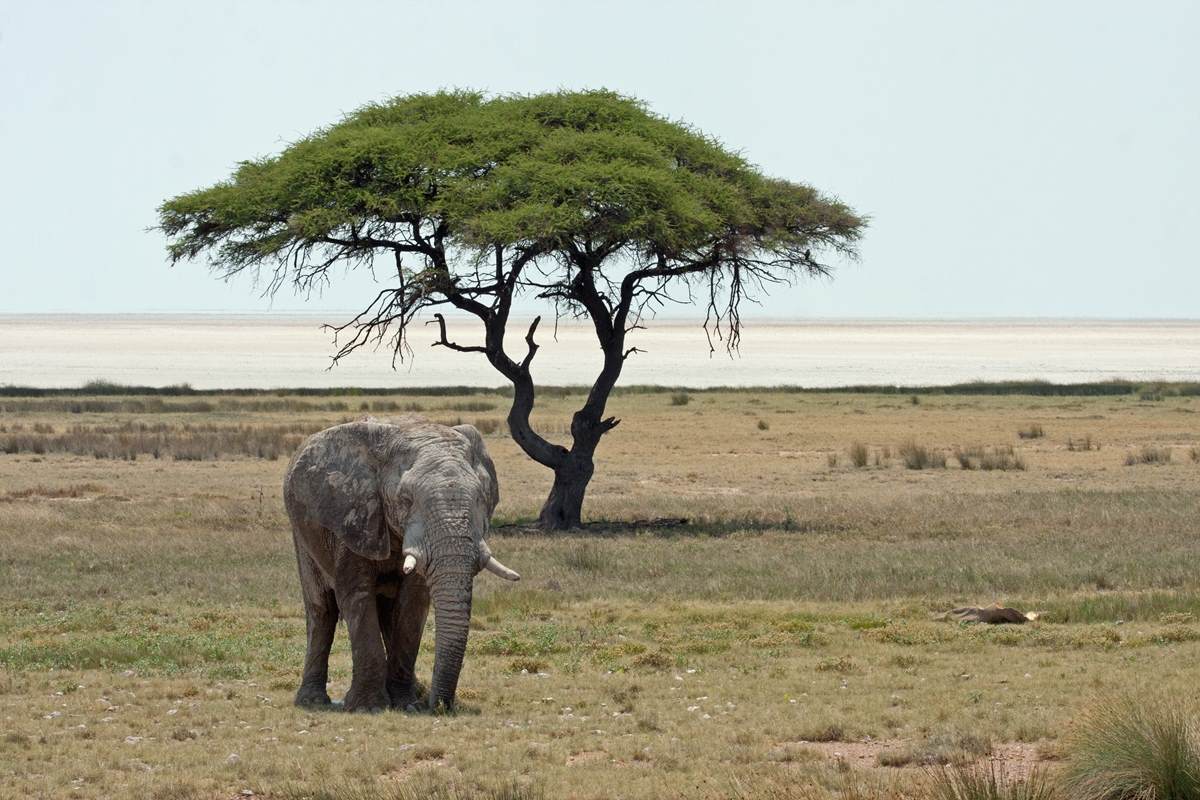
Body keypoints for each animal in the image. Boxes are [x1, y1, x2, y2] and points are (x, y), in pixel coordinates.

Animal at [282, 416, 520, 712]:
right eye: (405, 500)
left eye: (480, 498)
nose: (438, 706)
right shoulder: (354, 518)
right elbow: (356, 596)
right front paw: (368, 707)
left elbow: (412, 604)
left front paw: (407, 704)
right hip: (302, 534)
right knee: (322, 609)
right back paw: (312, 701)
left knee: (387, 612)